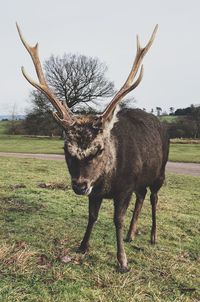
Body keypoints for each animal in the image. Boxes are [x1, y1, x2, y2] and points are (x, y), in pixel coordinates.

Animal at [17, 24, 170, 272]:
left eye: (99, 149)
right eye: (66, 149)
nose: (79, 185)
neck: (107, 181)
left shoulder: (126, 186)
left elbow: (117, 219)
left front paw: (122, 261)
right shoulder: (96, 191)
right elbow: (92, 216)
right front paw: (82, 246)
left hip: (160, 173)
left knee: (154, 198)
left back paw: (153, 236)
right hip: (141, 180)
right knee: (142, 195)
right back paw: (132, 234)